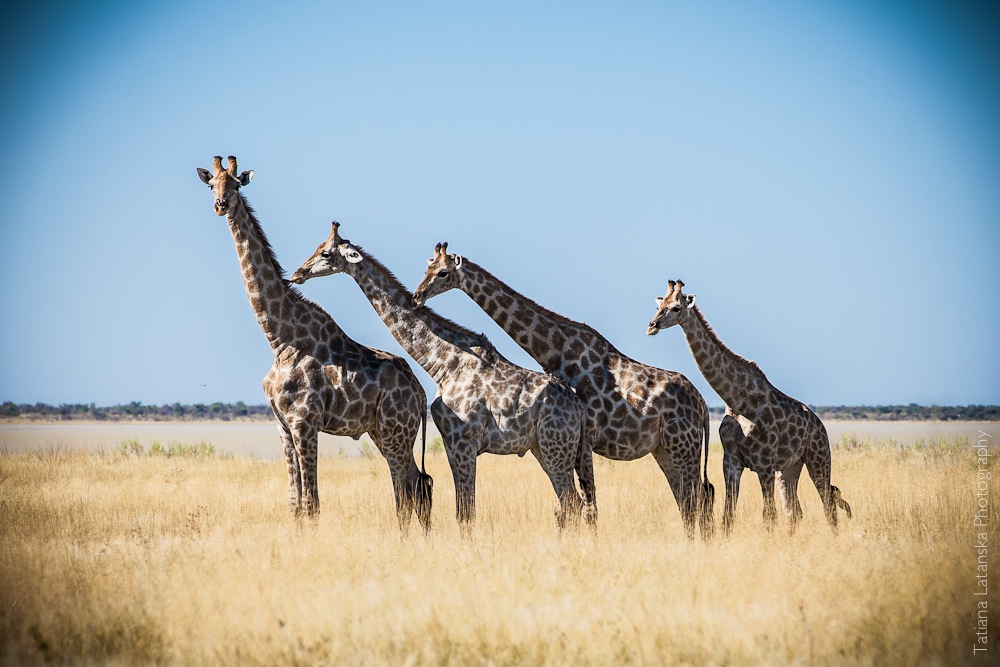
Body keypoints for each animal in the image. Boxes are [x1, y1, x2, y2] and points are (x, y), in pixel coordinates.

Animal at [195, 154, 430, 528]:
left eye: (235, 185)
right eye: (212, 184)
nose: (221, 205)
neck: (279, 339)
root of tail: (420, 393)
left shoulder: (305, 422)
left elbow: (312, 502)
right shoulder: (282, 425)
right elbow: (294, 501)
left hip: (396, 430)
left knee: (407, 488)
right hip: (382, 432)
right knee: (413, 485)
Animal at [292, 227, 596, 528]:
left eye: (326, 253)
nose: (298, 273)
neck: (443, 365)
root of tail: (579, 408)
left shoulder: (464, 441)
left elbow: (466, 512)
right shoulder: (451, 444)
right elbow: (462, 510)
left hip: (556, 447)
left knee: (572, 501)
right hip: (543, 448)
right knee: (573, 503)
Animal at [410, 243, 716, 540]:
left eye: (443, 273)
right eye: (427, 268)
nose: (417, 296)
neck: (559, 352)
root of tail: (701, 403)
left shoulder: (587, 436)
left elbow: (587, 504)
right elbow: (572, 505)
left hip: (684, 446)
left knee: (698, 497)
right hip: (663, 448)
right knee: (689, 498)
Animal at [648, 280, 852, 536]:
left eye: (676, 307)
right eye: (658, 305)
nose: (652, 326)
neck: (737, 399)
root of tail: (821, 426)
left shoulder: (764, 464)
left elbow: (769, 516)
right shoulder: (732, 462)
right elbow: (728, 516)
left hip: (819, 458)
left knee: (828, 506)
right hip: (790, 468)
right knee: (795, 511)